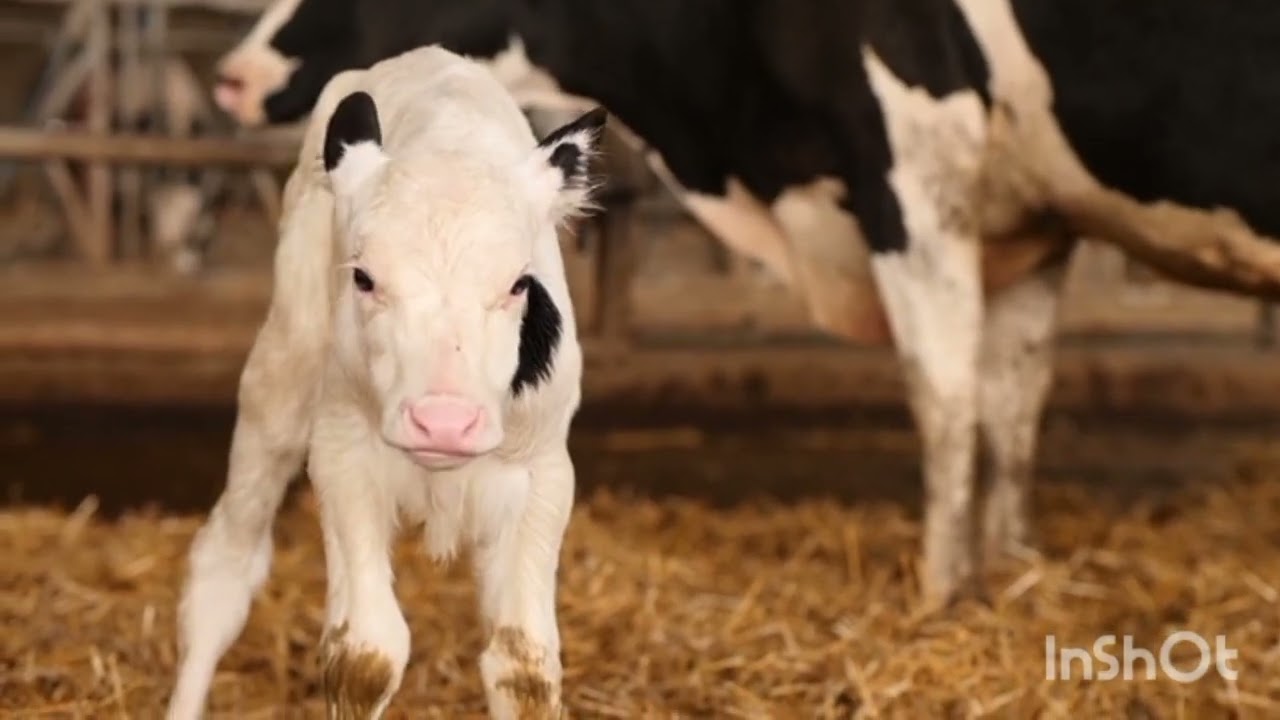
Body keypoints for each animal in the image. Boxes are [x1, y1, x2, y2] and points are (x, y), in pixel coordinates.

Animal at [166, 46, 606, 718]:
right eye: (365, 277)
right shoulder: (342, 456)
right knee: (225, 566)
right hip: (280, 378)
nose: (445, 422)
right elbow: (365, 656)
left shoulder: (545, 474)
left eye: (518, 283)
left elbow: (523, 664)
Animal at [208, 0, 1280, 608]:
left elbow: (945, 398)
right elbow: (1014, 403)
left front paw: (941, 590)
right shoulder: (1030, 225)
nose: (232, 75)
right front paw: (1011, 569)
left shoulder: (914, 173)